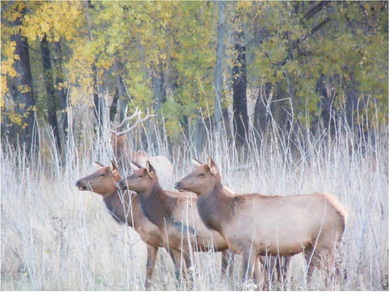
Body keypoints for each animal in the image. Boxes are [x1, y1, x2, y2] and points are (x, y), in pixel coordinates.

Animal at [175, 157, 348, 288]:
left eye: (201, 174)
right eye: (192, 171)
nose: (177, 183)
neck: (226, 218)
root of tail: (343, 212)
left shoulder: (248, 246)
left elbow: (245, 280)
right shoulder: (257, 251)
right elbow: (258, 282)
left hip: (325, 243)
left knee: (332, 277)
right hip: (316, 247)